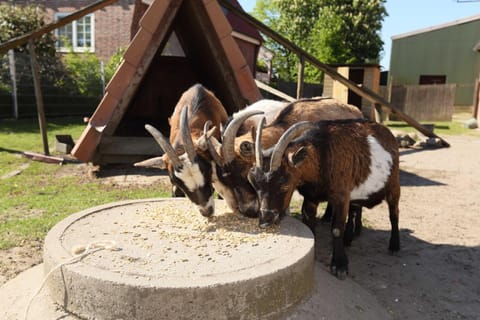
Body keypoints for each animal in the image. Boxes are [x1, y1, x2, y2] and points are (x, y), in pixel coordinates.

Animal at [249, 119, 400, 278]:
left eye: (284, 185)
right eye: (253, 184)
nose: (265, 221)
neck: (323, 153)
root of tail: (387, 131)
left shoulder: (341, 196)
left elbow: (336, 229)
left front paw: (339, 265)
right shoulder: (311, 196)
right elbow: (309, 222)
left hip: (394, 184)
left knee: (394, 213)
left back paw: (394, 246)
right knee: (355, 208)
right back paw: (350, 237)